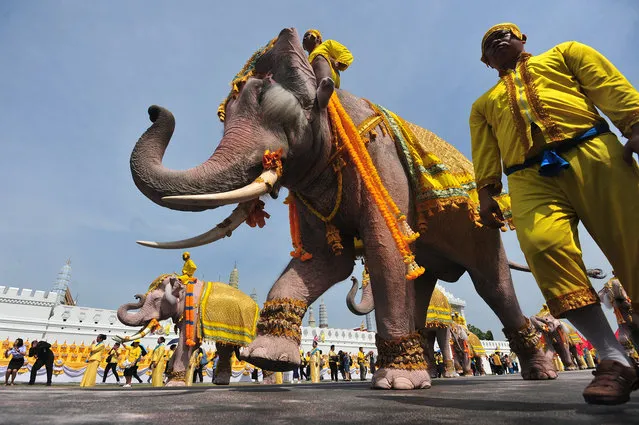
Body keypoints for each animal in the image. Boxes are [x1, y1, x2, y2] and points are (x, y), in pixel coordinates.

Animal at [127, 28, 552, 390]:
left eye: (269, 106)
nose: (153, 110)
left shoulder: (379, 158)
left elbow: (382, 246)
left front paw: (397, 382)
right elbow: (326, 260)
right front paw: (268, 357)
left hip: (479, 222)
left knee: (491, 281)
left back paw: (537, 373)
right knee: (422, 278)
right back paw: (428, 373)